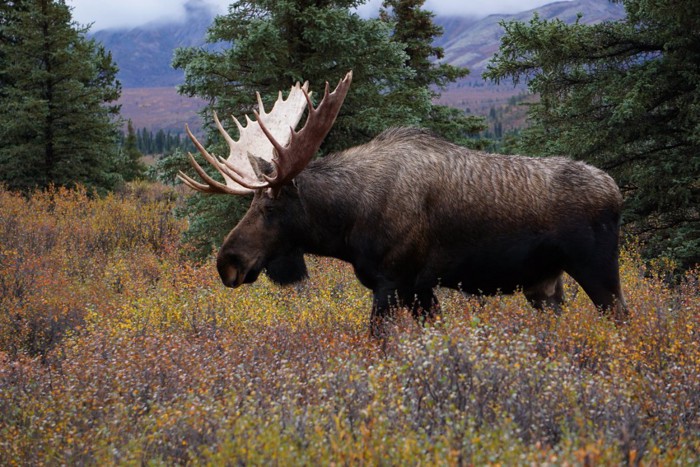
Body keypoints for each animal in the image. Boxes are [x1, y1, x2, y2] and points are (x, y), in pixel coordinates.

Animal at [180, 71, 628, 336]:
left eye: (270, 209)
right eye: (250, 205)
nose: (228, 262)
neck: (346, 225)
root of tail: (616, 192)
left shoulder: (392, 282)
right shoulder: (421, 288)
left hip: (598, 269)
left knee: (622, 318)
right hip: (545, 286)